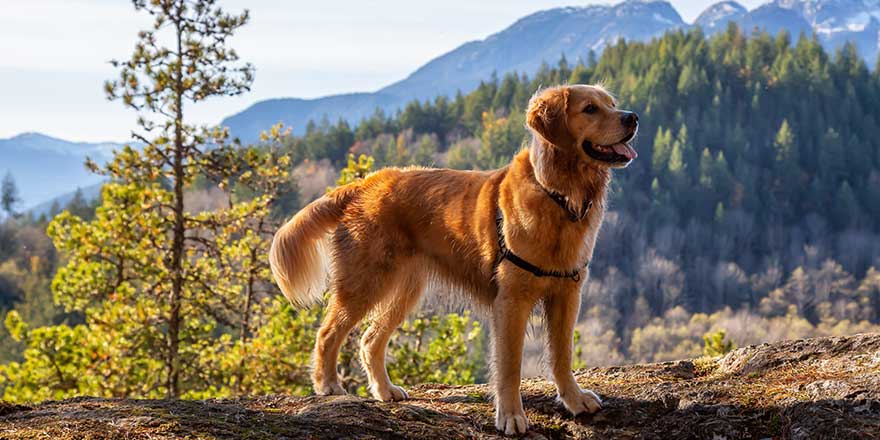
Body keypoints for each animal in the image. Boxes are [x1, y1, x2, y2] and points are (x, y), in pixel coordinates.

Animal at [270, 84, 640, 434]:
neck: (558, 194)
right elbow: (510, 365)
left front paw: (574, 400)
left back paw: (385, 390)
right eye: (589, 109)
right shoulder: (511, 300)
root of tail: (366, 183)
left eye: (611, 104)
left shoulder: (567, 293)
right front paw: (511, 416)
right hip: (365, 283)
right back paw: (328, 385)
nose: (633, 117)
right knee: (328, 333)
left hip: (405, 289)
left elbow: (562, 356)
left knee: (369, 340)